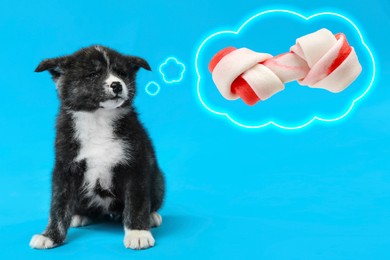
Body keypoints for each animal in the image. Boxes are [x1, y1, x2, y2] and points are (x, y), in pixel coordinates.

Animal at [29, 45, 165, 250]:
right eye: (93, 74)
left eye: (121, 73)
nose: (117, 85)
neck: (99, 119)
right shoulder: (65, 168)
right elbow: (58, 205)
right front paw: (50, 236)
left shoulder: (135, 166)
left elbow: (136, 202)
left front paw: (138, 232)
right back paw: (79, 216)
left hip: (158, 181)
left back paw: (152, 216)